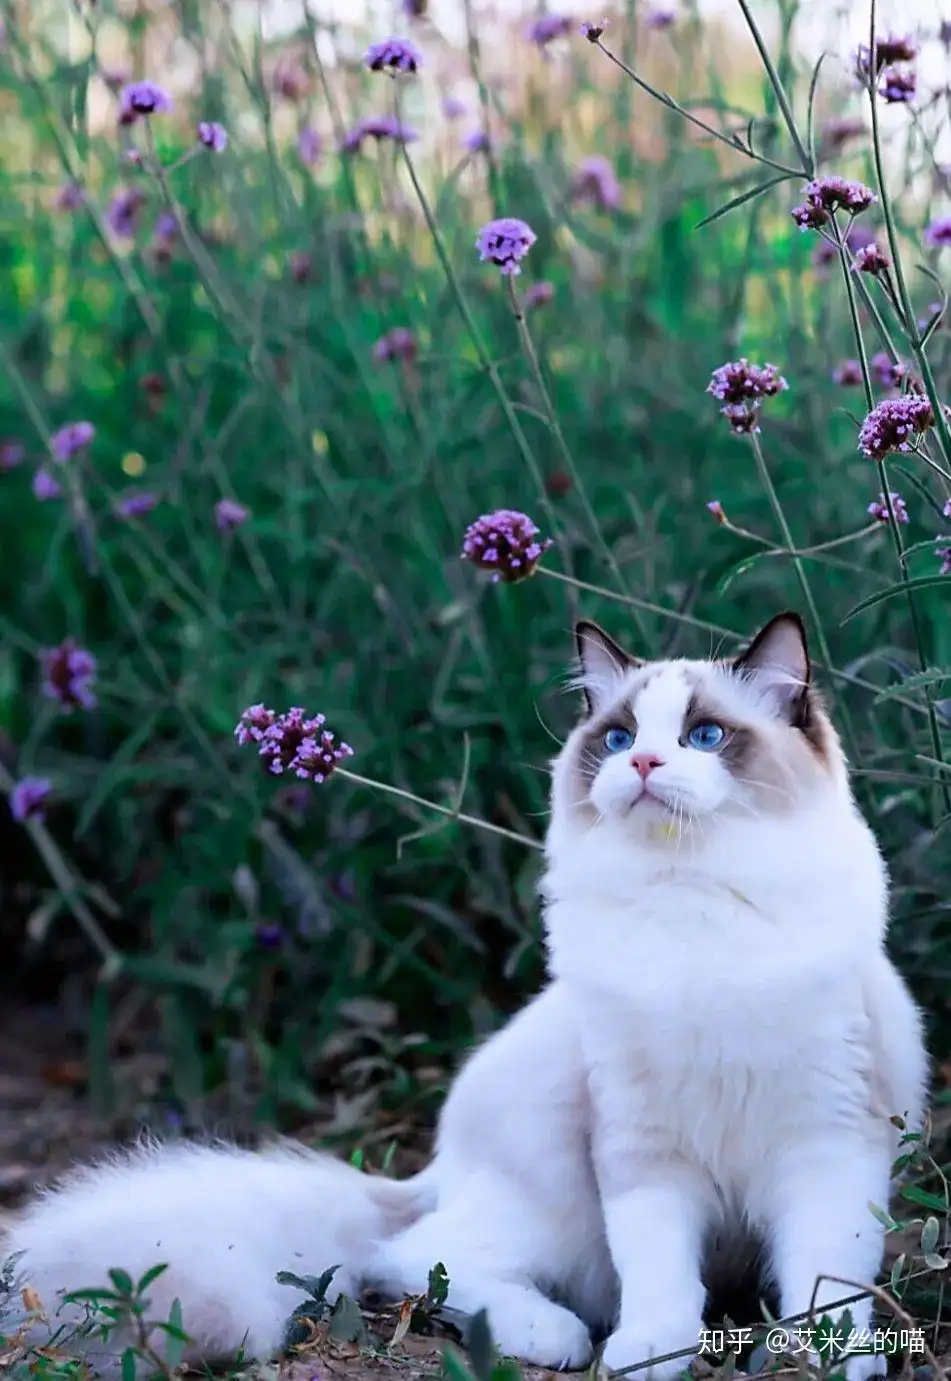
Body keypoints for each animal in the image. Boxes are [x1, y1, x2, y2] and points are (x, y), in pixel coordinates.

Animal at [5, 618, 927, 1381]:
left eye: (704, 736)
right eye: (619, 737)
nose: (641, 763)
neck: (689, 902)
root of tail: (431, 1170)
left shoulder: (825, 1143)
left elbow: (828, 1283)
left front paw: (830, 1356)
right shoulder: (641, 1149)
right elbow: (661, 1280)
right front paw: (647, 1356)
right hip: (550, 1190)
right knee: (412, 1258)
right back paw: (555, 1336)